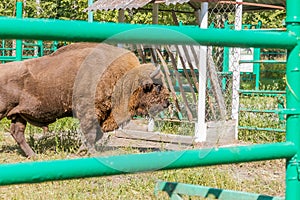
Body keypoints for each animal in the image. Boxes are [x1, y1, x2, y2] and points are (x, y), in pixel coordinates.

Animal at [0, 43, 169, 157]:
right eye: (157, 87)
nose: (167, 103)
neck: (124, 80)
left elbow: (96, 134)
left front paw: (85, 149)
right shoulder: (89, 112)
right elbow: (90, 132)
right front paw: (89, 151)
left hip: (18, 114)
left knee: (17, 133)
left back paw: (33, 155)